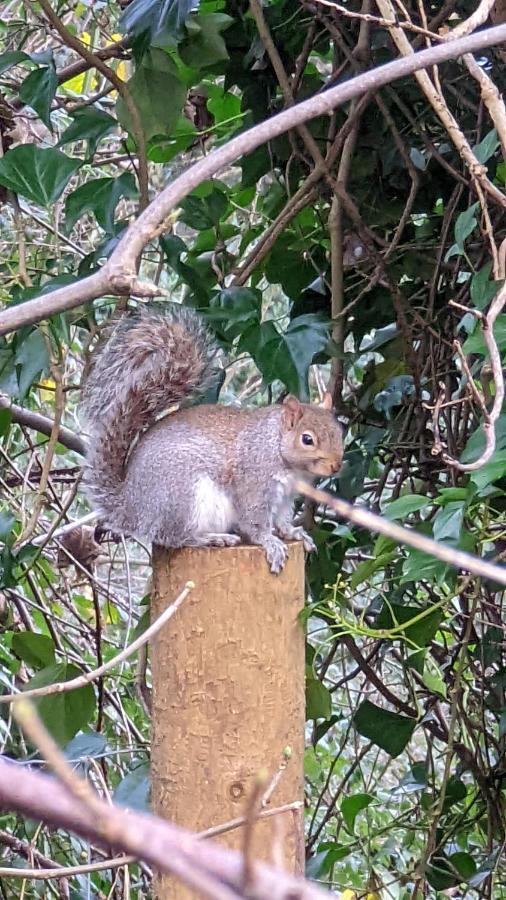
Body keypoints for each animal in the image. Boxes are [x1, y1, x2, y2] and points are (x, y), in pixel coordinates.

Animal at [83, 302, 344, 568]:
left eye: (340, 431)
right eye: (307, 439)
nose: (336, 466)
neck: (275, 445)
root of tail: (131, 505)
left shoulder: (286, 496)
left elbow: (281, 520)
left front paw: (294, 533)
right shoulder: (253, 483)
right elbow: (255, 521)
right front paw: (270, 542)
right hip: (183, 497)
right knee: (174, 537)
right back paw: (212, 538)